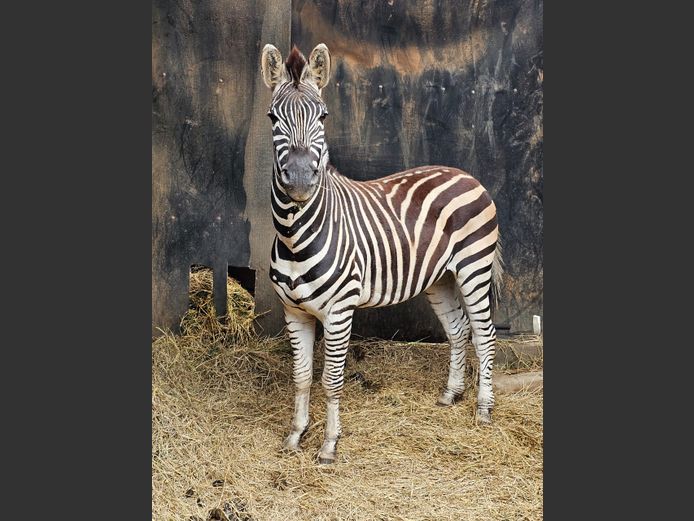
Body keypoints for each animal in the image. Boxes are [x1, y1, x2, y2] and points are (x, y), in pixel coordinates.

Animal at [261, 43, 504, 464]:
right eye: (273, 116)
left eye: (323, 116)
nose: (302, 180)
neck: (294, 235)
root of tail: (464, 174)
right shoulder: (294, 311)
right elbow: (301, 377)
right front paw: (295, 436)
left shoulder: (340, 311)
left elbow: (331, 380)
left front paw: (329, 444)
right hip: (441, 277)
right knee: (458, 330)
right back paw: (450, 394)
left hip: (474, 267)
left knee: (484, 334)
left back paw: (483, 409)